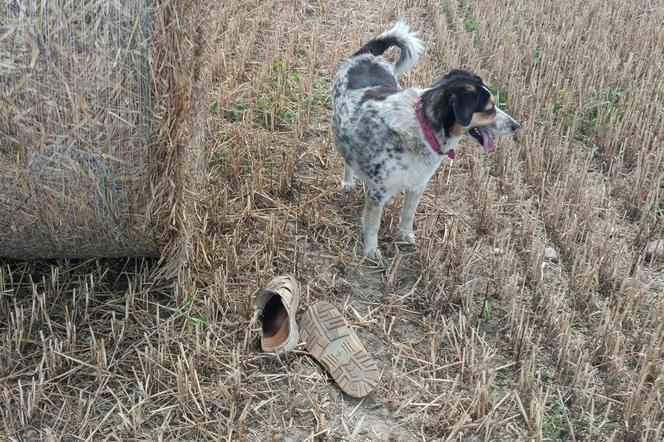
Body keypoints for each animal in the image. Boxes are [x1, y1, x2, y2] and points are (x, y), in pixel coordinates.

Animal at [332, 20, 520, 260]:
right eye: (489, 110)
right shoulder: (378, 193)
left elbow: (408, 215)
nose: (515, 126)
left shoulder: (417, 185)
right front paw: (371, 251)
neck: (422, 128)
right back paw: (348, 181)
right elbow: (373, 226)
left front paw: (406, 236)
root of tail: (369, 54)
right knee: (347, 157)